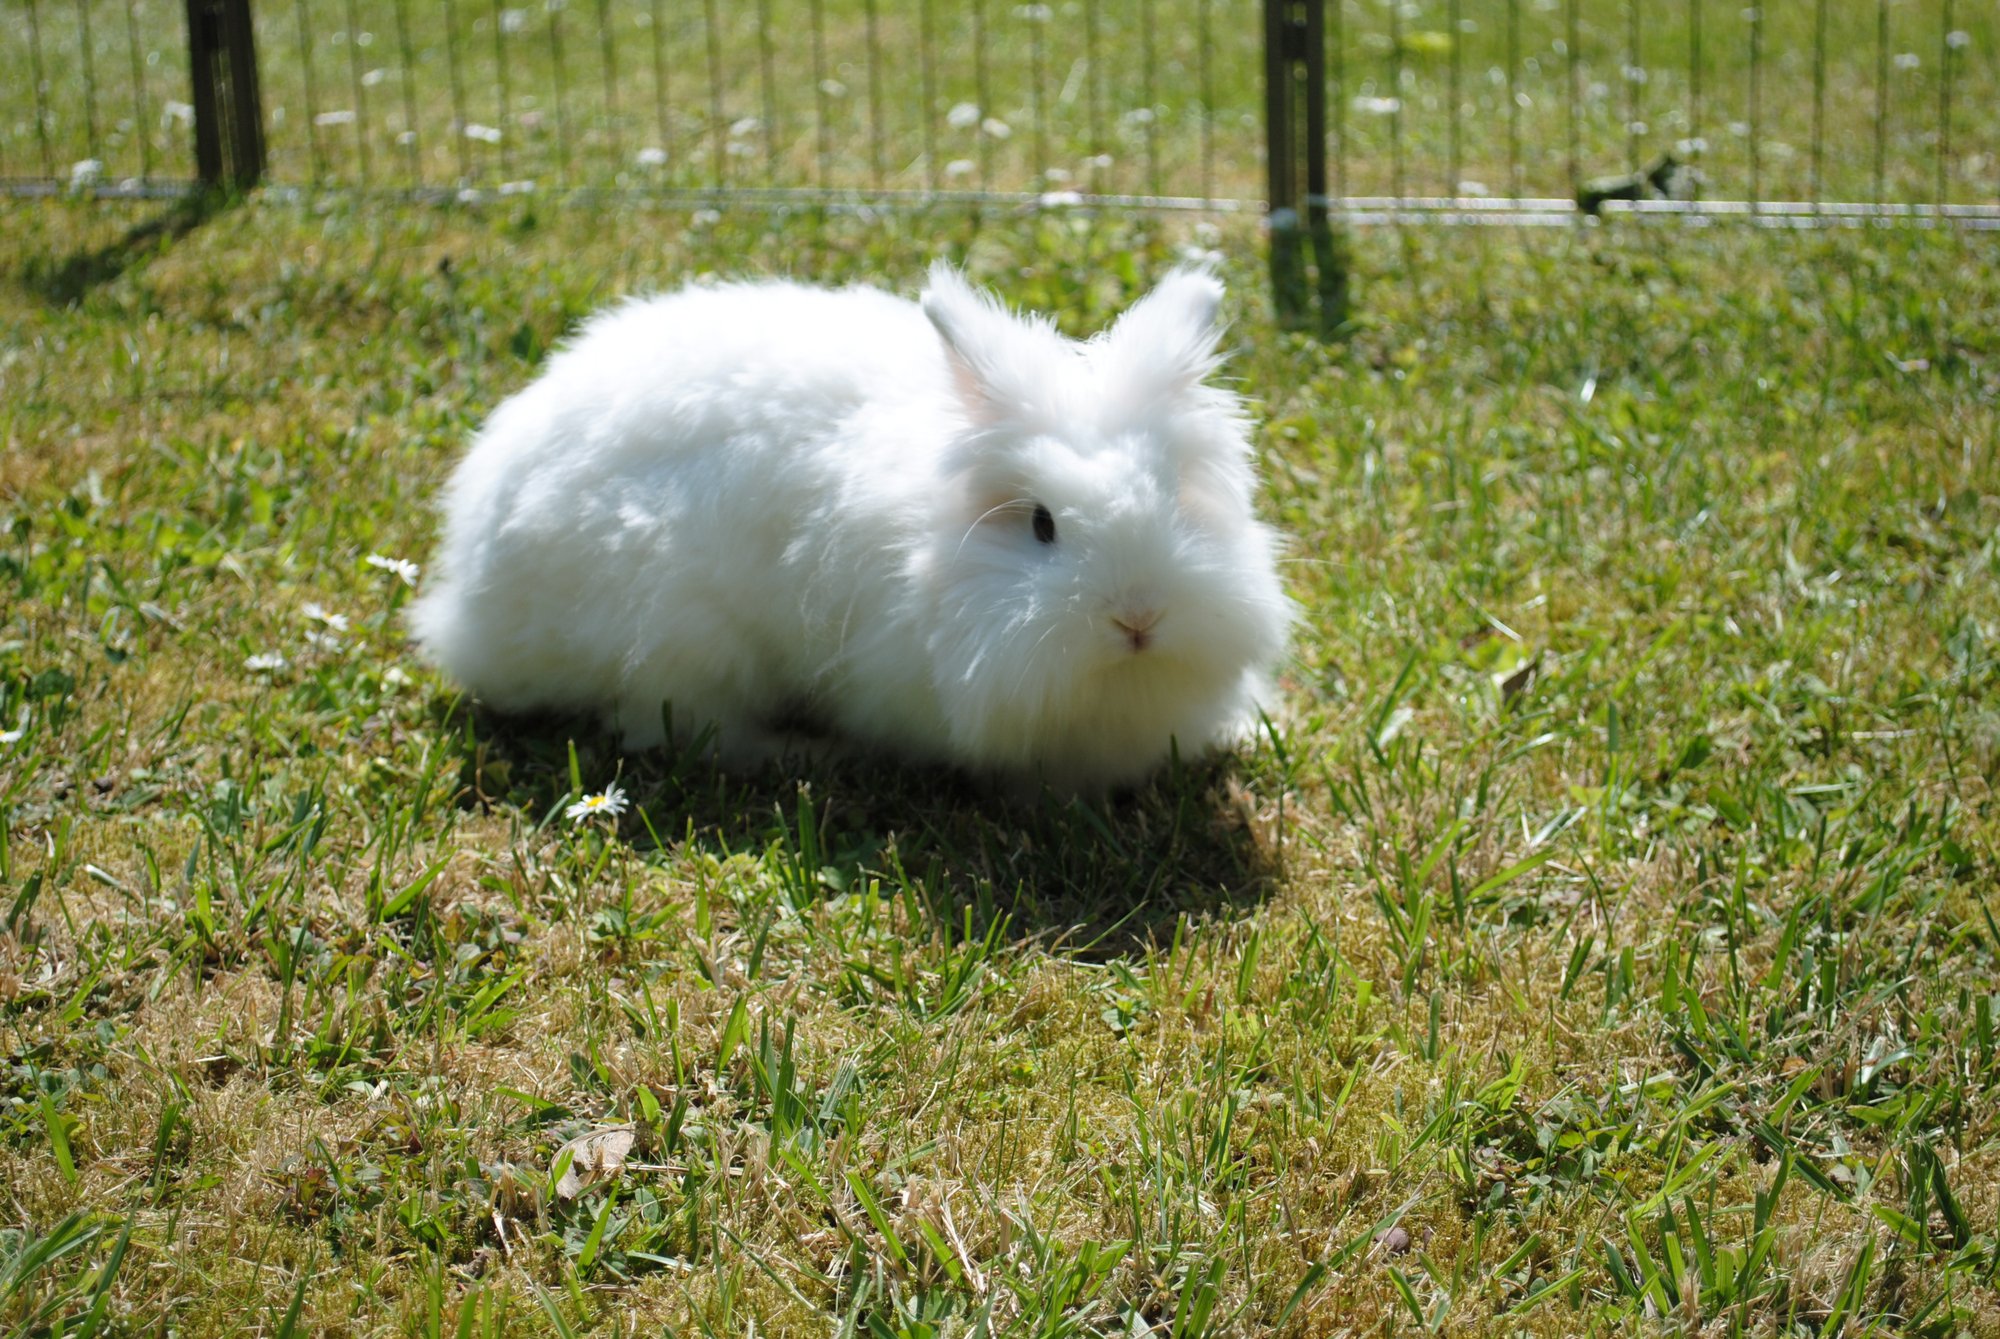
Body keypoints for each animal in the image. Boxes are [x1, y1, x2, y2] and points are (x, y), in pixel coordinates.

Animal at [411, 262, 1292, 792]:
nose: (1138, 617)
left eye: (1174, 499)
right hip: (678, 638)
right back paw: (810, 754)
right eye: (1042, 524)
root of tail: (471, 606)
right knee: (678, 730)